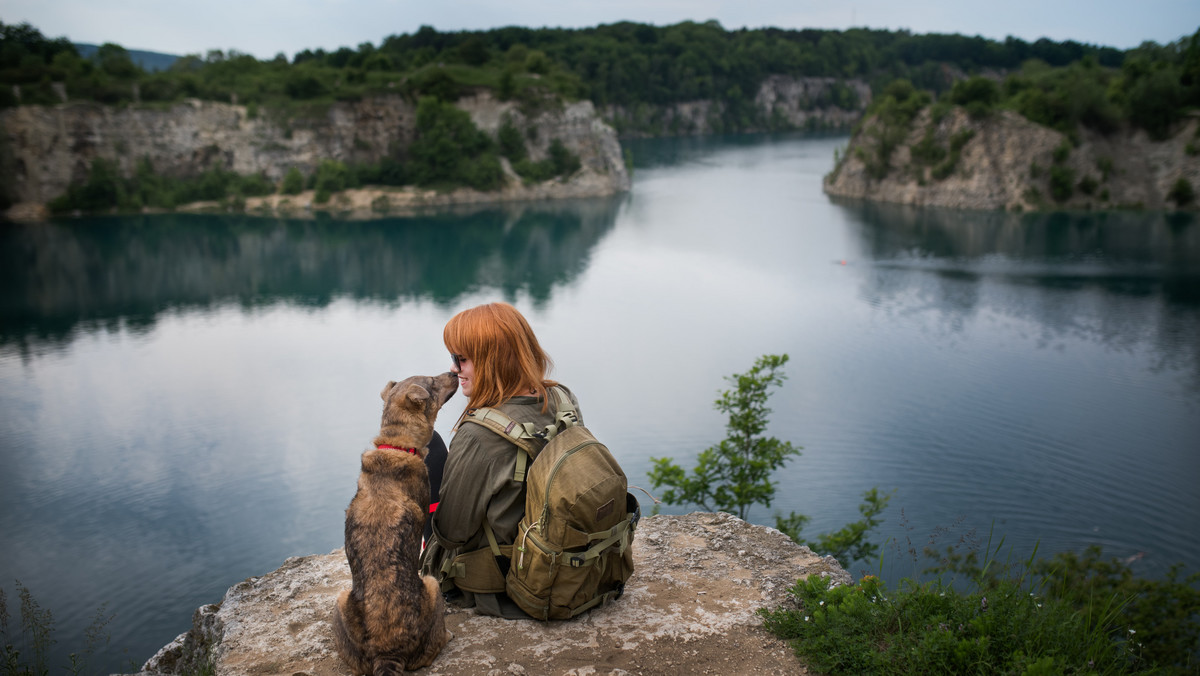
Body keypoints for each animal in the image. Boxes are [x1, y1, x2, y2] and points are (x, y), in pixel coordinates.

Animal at [333, 374, 458, 676]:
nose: (455, 372)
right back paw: (447, 635)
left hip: (339, 602)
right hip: (432, 586)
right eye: (433, 382)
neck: (396, 445)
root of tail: (387, 654)